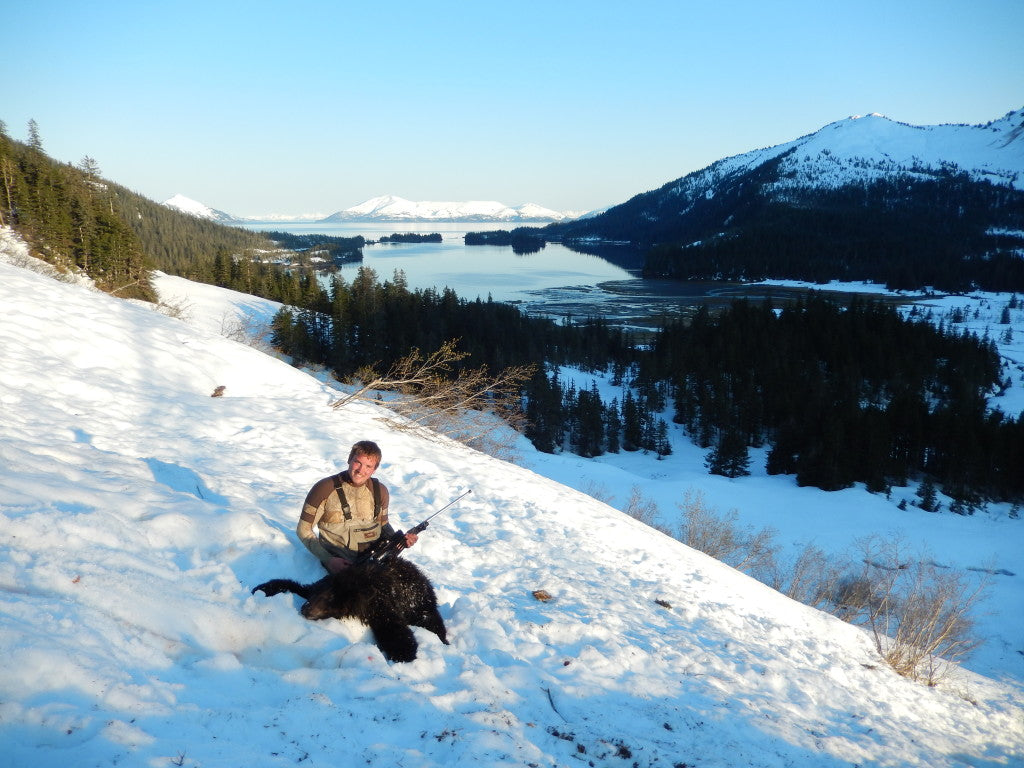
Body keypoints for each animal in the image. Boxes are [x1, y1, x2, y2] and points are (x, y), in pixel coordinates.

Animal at [251, 557, 448, 663]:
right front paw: (263, 588)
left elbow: (393, 627)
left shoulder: (379, 603)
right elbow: (295, 585)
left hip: (421, 605)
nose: (305, 609)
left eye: (329, 599)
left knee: (432, 621)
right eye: (315, 596)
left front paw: (404, 653)